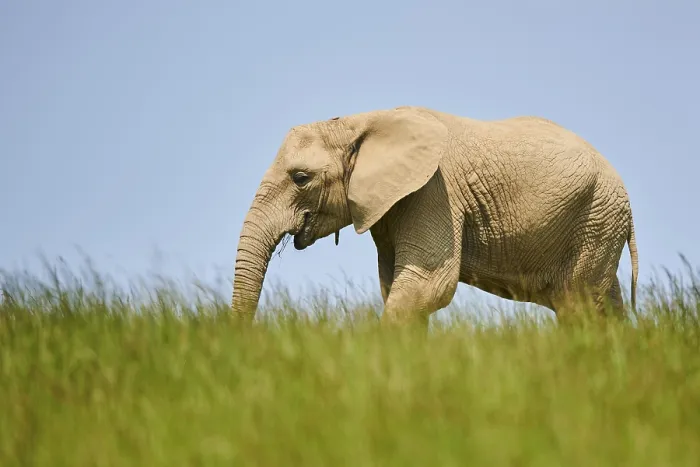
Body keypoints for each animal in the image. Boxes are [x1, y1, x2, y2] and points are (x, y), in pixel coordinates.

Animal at [230, 105, 639, 328]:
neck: (361, 121)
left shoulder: (433, 192)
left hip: (596, 219)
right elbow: (396, 287)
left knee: (577, 306)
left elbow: (426, 286)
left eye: (301, 178)